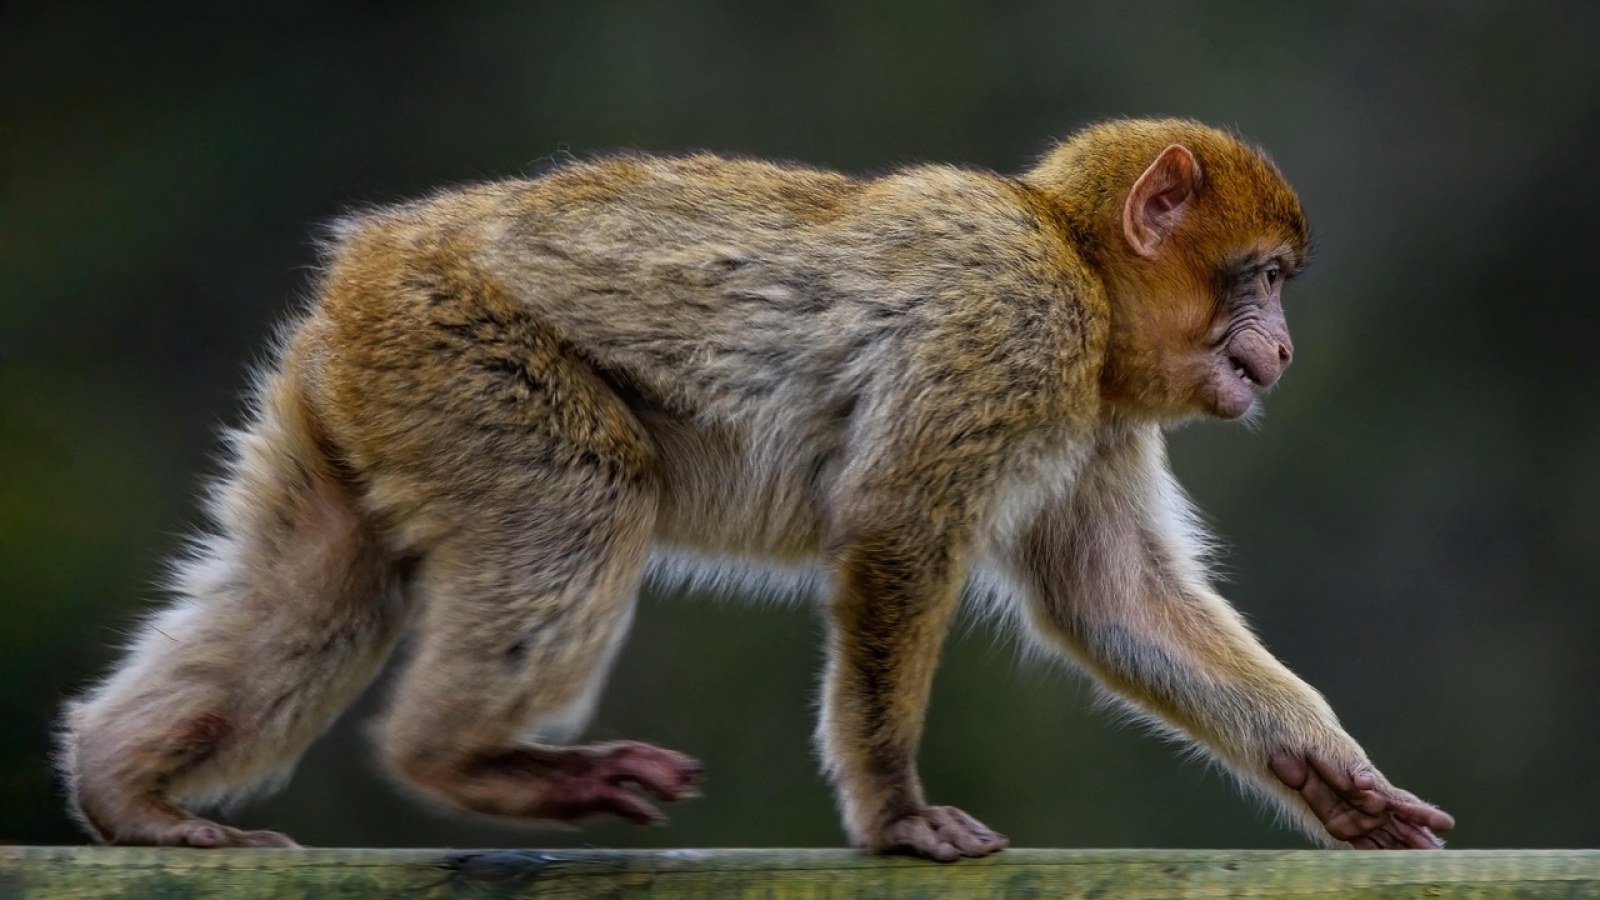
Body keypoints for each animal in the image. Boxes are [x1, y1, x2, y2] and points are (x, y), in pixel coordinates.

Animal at [58, 118, 1454, 861]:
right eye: (1260, 279)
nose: (1282, 348)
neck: (1076, 266)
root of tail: (373, 255)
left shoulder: (1098, 414)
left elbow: (1110, 597)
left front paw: (1325, 772)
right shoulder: (1011, 324)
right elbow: (897, 530)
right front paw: (893, 813)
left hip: (361, 384)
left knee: (319, 578)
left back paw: (130, 792)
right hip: (452, 344)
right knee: (582, 494)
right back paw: (460, 758)